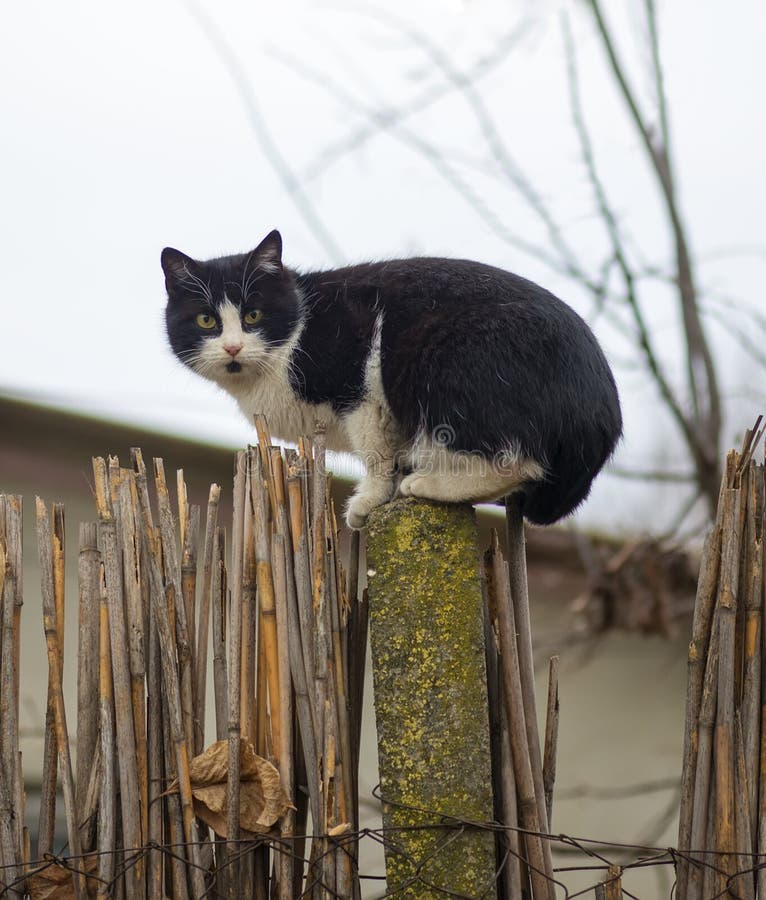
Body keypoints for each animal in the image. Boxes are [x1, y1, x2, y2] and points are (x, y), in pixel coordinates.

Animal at [164, 229, 624, 532]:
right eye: (206, 321)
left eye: (253, 314)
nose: (233, 348)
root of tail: (601, 419)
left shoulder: (364, 369)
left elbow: (377, 450)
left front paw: (368, 500)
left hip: (442, 355)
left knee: (516, 458)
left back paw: (428, 482)